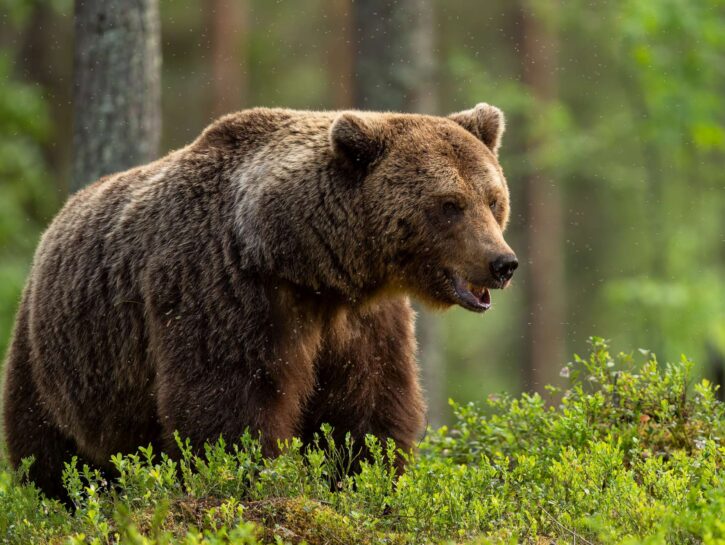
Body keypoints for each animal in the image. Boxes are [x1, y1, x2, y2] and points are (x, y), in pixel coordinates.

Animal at [2, 104, 518, 500]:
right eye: (449, 205)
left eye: (493, 199)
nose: (502, 263)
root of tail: (54, 223)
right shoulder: (227, 290)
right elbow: (230, 403)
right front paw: (254, 480)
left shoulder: (361, 321)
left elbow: (368, 406)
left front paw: (365, 480)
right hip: (57, 359)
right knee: (49, 452)